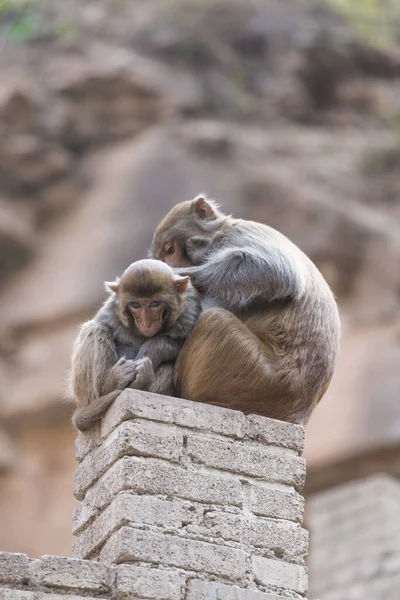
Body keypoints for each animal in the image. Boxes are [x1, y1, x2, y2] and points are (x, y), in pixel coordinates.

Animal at [69, 258, 202, 432]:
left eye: (154, 303)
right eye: (136, 305)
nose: (146, 322)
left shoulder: (190, 307)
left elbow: (180, 340)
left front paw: (147, 353)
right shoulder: (112, 309)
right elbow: (105, 327)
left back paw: (142, 381)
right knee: (95, 329)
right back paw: (111, 385)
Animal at [152, 195, 340, 424]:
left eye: (170, 250)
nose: (165, 262)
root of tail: (299, 413)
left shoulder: (238, 235)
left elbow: (279, 272)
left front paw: (177, 274)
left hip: (257, 377)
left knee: (216, 320)